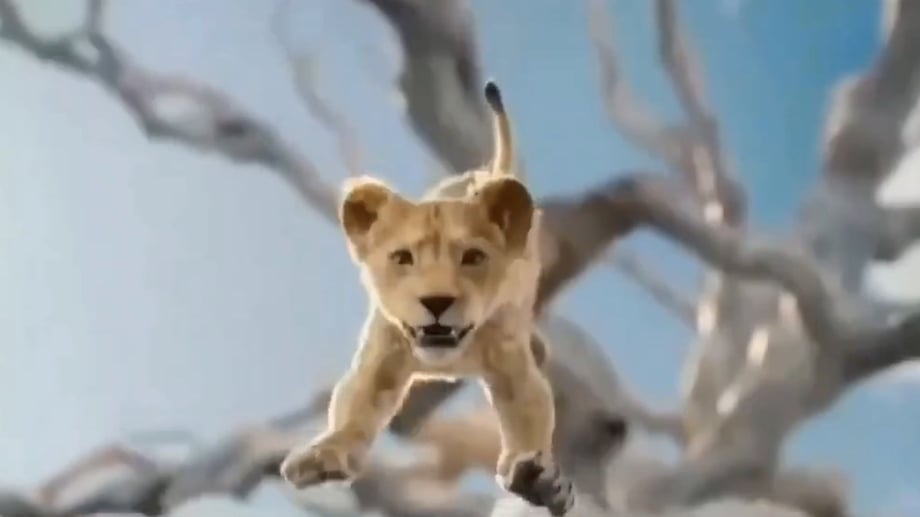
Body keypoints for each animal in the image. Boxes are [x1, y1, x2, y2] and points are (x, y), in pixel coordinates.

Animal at [280, 81, 574, 516]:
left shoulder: (510, 364)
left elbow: (529, 411)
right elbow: (355, 406)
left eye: (473, 257)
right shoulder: (383, 355)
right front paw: (323, 457)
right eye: (403, 257)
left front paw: (536, 477)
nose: (436, 302)